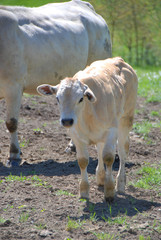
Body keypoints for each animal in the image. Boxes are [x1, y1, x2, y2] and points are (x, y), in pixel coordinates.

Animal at [37, 57, 138, 202]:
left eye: (80, 98)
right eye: (57, 98)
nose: (67, 120)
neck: (88, 112)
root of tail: (119, 60)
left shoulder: (112, 130)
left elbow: (109, 157)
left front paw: (109, 190)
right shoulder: (76, 135)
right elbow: (83, 160)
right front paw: (84, 191)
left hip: (126, 120)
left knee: (123, 151)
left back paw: (120, 183)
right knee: (100, 149)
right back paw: (101, 177)